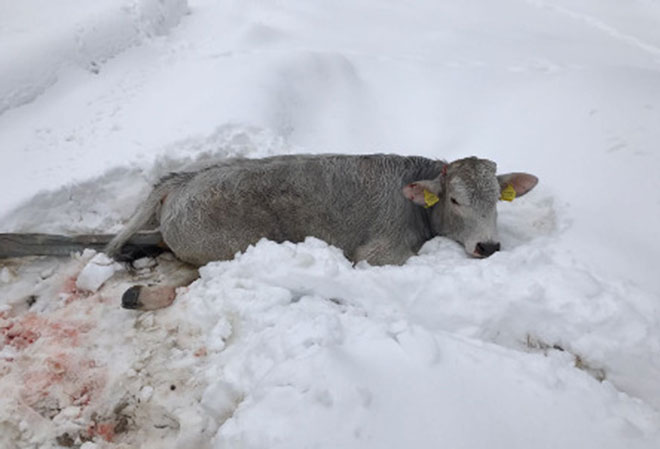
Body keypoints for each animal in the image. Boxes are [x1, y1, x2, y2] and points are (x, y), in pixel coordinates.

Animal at [104, 152, 536, 310]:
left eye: (498, 200)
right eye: (456, 200)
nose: (488, 246)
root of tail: (179, 182)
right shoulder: (381, 253)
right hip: (222, 247)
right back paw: (139, 295)